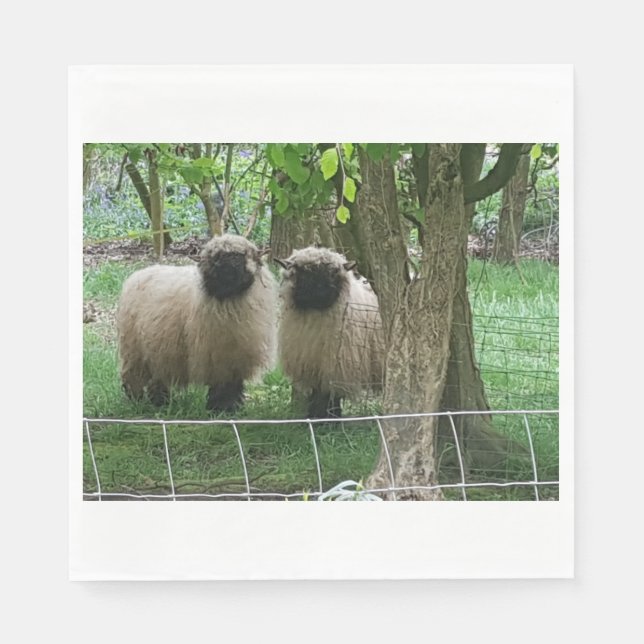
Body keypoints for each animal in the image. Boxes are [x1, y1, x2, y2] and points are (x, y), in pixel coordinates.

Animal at [116, 234, 277, 412]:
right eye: (215, 257)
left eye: (243, 255)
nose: (228, 263)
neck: (229, 301)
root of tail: (139, 273)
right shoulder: (216, 357)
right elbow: (222, 386)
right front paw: (220, 408)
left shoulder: (235, 358)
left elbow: (232, 385)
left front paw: (231, 408)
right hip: (134, 349)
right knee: (132, 377)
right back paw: (136, 401)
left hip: (157, 348)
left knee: (157, 377)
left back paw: (160, 402)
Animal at [275, 246, 384, 418]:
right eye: (302, 272)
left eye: (333, 274)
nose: (319, 291)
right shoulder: (313, 365)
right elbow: (316, 395)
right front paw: (313, 416)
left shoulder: (337, 366)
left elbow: (330, 396)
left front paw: (330, 419)